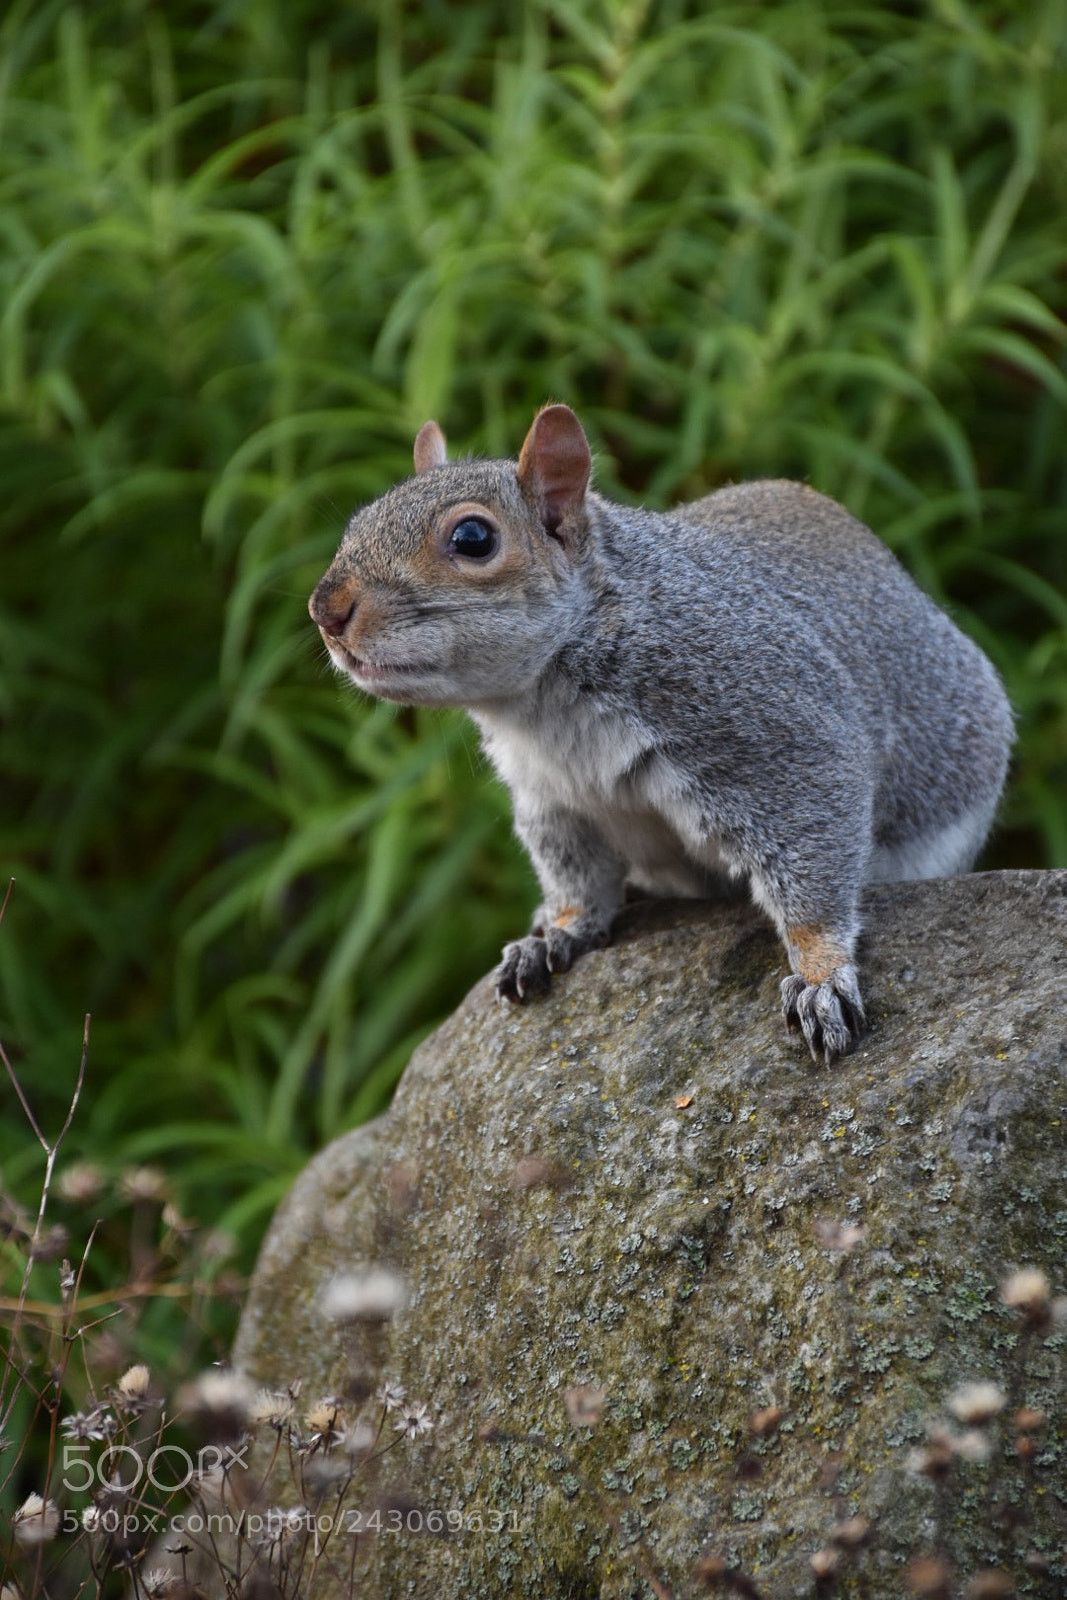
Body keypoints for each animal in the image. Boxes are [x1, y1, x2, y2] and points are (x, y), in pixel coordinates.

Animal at [309, 405, 1013, 1063]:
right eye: (358, 521)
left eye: (473, 537)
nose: (325, 611)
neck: (539, 706)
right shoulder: (554, 800)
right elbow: (575, 879)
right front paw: (557, 932)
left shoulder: (777, 732)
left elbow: (814, 847)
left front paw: (821, 977)